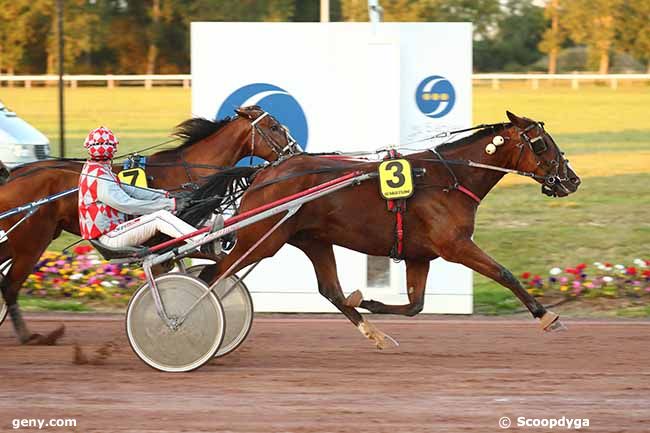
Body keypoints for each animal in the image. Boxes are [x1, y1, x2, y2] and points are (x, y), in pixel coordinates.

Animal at [0, 107, 296, 344]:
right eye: (274, 127)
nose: (294, 151)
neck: (188, 172)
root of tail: (13, 175)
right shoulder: (162, 243)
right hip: (32, 242)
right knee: (11, 285)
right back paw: (29, 336)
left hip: (25, 240)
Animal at [199, 112, 584, 348]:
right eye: (541, 143)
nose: (572, 179)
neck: (448, 178)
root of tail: (265, 173)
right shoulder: (456, 246)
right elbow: (505, 273)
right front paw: (547, 315)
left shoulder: (419, 255)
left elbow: (415, 305)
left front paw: (367, 299)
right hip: (261, 239)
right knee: (211, 276)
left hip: (313, 239)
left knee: (331, 291)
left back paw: (376, 333)